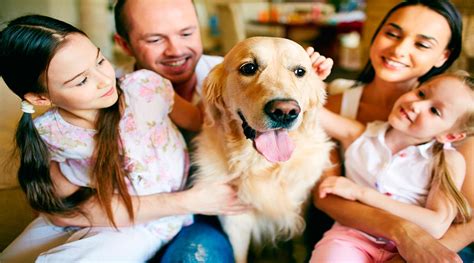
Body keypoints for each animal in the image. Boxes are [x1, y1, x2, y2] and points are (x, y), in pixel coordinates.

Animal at [193, 37, 334, 263]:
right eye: (249, 68)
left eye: (300, 71)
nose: (285, 111)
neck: (263, 166)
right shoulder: (236, 222)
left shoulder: (299, 205)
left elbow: (300, 245)